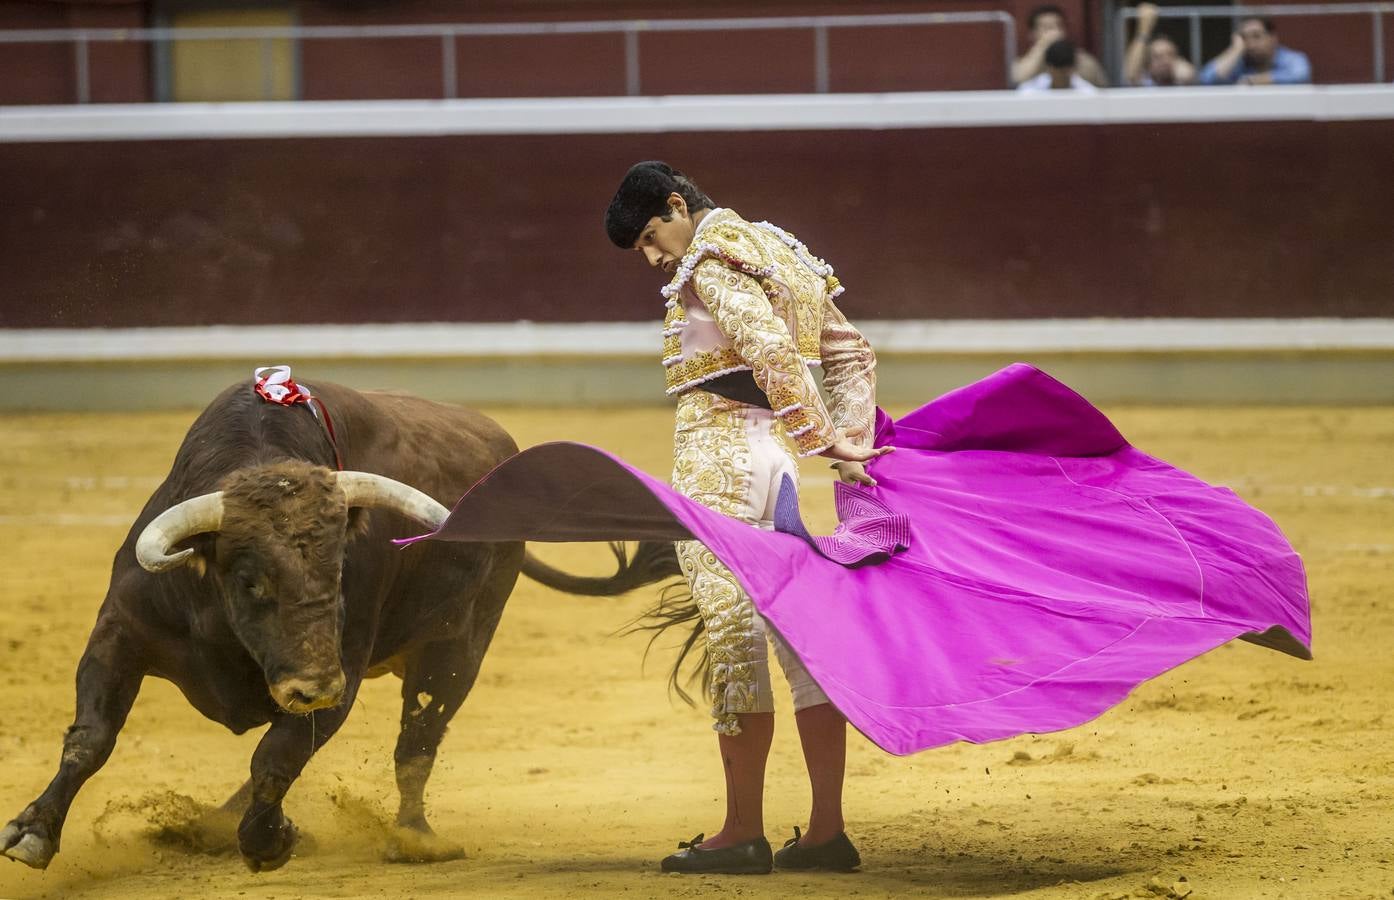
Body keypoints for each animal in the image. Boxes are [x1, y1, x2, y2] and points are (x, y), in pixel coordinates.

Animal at [0, 378, 674, 874]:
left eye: (340, 570)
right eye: (250, 581)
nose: (312, 687)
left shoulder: (340, 675)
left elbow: (276, 759)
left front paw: (269, 842)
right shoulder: (120, 633)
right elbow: (91, 738)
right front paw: (32, 833)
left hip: (458, 651)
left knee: (417, 740)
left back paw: (414, 839)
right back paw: (210, 824)